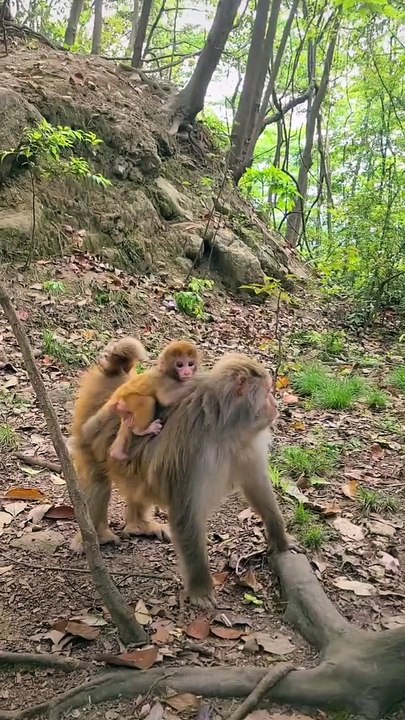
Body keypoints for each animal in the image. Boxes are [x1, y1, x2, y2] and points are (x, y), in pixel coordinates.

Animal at [69, 339, 294, 608]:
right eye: (268, 392)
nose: (275, 405)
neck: (227, 429)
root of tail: (117, 380)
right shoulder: (194, 452)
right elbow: (186, 512)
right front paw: (201, 589)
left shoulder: (246, 445)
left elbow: (257, 486)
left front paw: (280, 539)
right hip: (89, 432)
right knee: (98, 483)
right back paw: (96, 535)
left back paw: (138, 524)